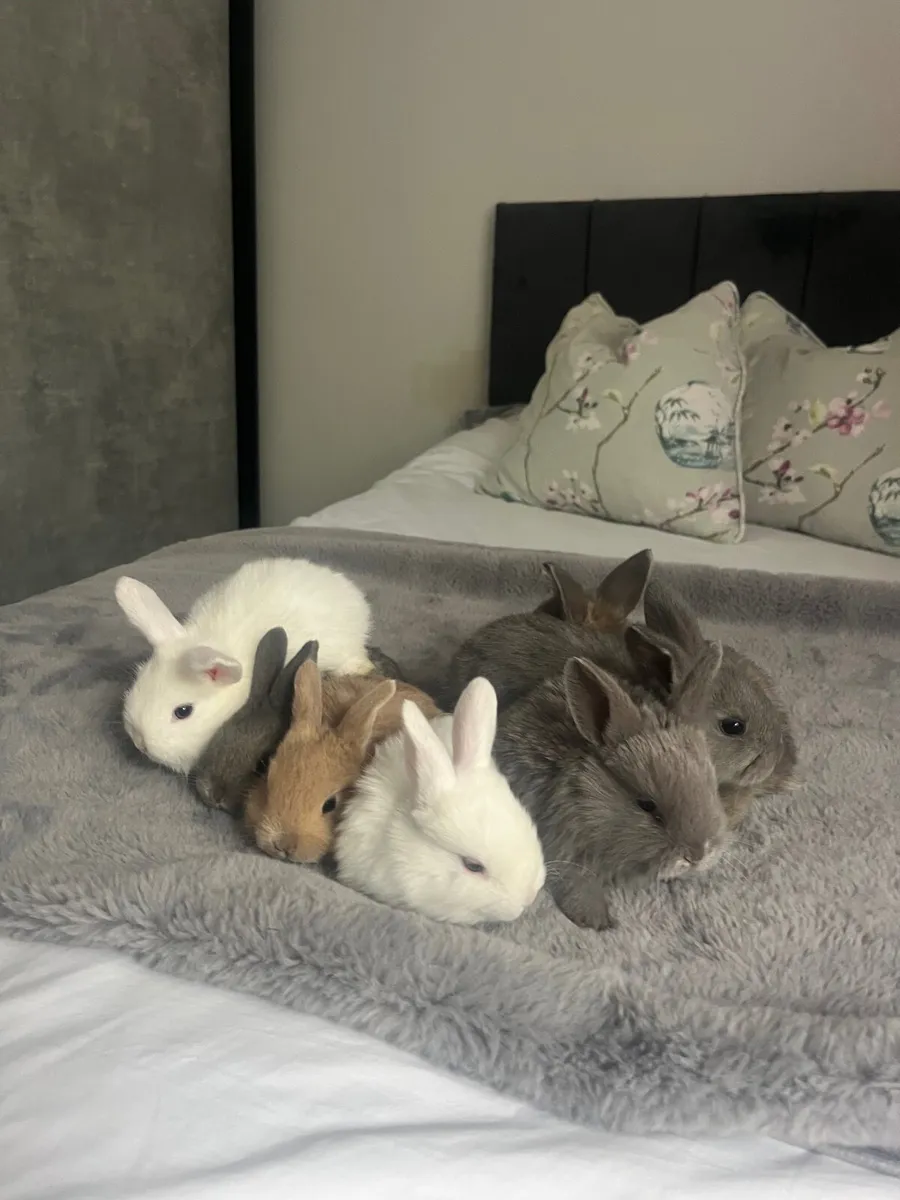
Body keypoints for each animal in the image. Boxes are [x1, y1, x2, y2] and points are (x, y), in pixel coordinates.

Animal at [494, 644, 727, 932]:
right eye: (646, 805)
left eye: (712, 787)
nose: (697, 855)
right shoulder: (566, 851)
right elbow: (578, 888)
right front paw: (599, 922)